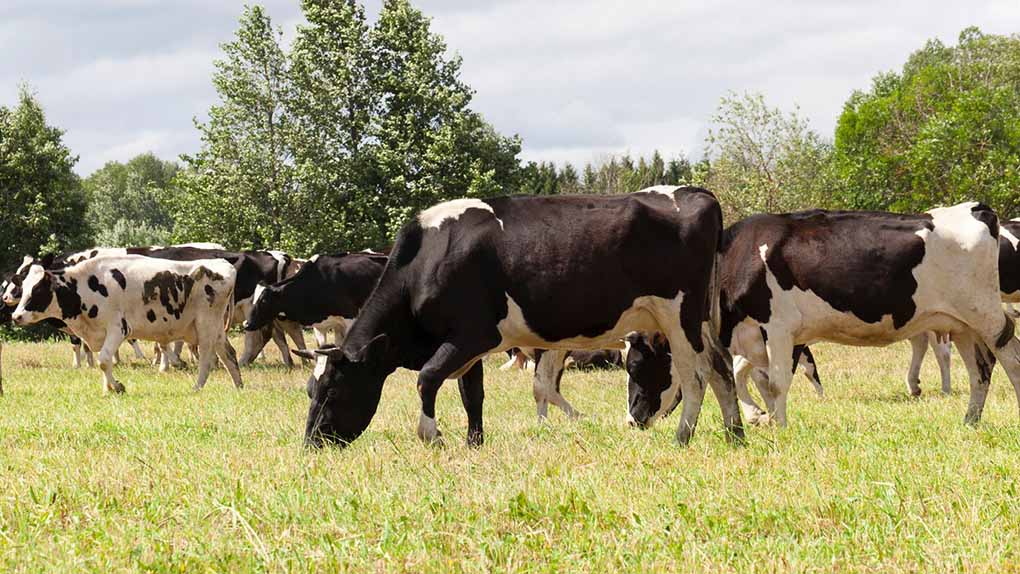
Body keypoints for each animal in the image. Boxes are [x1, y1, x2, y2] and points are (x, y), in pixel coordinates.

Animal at [10, 256, 241, 395]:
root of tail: (223, 263)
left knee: (207, 357)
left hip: (206, 324)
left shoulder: (118, 328)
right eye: (24, 287)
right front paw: (108, 389)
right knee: (229, 353)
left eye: (37, 290)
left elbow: (104, 360)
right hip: (216, 328)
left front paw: (117, 386)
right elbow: (106, 360)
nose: (16, 316)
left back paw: (197, 387)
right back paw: (238, 386)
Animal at [297, 187, 746, 448]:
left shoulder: (470, 336)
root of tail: (694, 192)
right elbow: (472, 394)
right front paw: (473, 443)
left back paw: (683, 436)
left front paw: (432, 436)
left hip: (679, 316)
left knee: (695, 376)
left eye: (333, 390)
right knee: (721, 369)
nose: (312, 444)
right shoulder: (468, 346)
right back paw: (734, 434)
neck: (428, 258)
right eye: (310, 390)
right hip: (699, 321)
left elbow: (427, 379)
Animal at [624, 203, 1020, 428]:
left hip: (985, 313)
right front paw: (762, 416)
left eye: (638, 366)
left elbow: (776, 382)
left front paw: (778, 427)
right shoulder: (753, 337)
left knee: (1009, 354)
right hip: (960, 323)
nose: (631, 420)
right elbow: (752, 378)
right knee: (980, 369)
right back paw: (969, 421)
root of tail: (976, 209)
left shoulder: (779, 328)